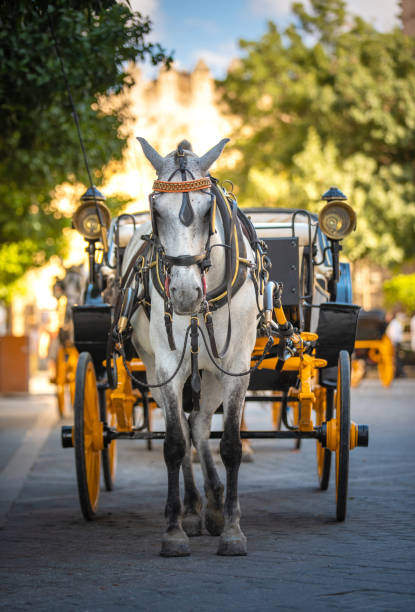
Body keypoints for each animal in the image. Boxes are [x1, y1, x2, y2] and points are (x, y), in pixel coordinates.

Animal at [123, 137, 258, 556]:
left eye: (206, 207)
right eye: (155, 211)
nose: (184, 294)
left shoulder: (236, 366)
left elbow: (229, 444)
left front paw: (232, 528)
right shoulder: (168, 367)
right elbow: (173, 444)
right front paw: (174, 530)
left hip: (211, 372)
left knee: (198, 424)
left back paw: (213, 505)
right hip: (157, 366)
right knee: (186, 428)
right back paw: (194, 509)